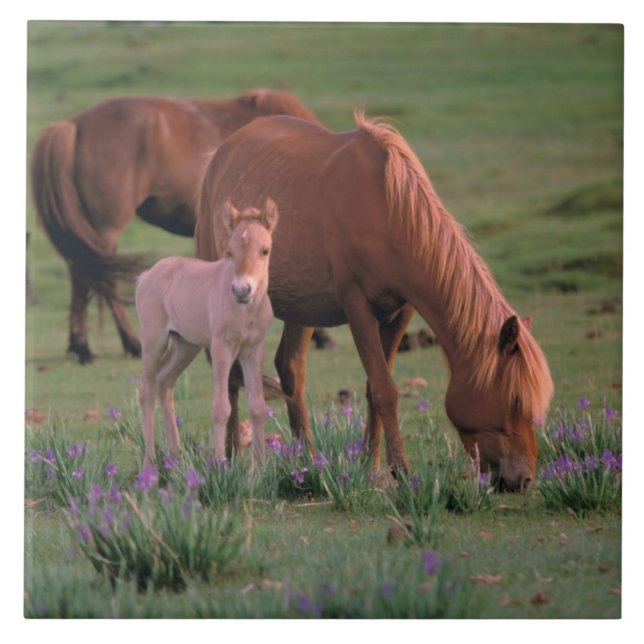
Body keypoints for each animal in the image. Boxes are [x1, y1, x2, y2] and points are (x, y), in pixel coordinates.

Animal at [30, 88, 318, 364]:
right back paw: (126, 343)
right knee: (100, 279)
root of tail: (72, 125)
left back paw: (81, 347)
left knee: (81, 275)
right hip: (104, 231)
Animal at [136, 197, 278, 468]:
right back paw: (150, 464)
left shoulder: (254, 349)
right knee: (146, 390)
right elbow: (221, 407)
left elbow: (257, 405)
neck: (246, 310)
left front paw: (260, 470)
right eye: (230, 252)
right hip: (153, 341)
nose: (242, 290)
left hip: (185, 345)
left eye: (265, 251)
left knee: (164, 381)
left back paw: (176, 459)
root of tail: (147, 274)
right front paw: (221, 466)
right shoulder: (221, 347)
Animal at [194, 113, 554, 492]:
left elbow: (373, 389)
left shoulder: (400, 312)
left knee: (289, 368)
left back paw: (307, 460)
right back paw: (231, 458)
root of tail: (221, 155)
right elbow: (385, 391)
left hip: (301, 309)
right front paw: (403, 472)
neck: (388, 212)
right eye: (515, 400)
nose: (523, 478)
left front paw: (372, 465)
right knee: (228, 374)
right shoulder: (358, 309)